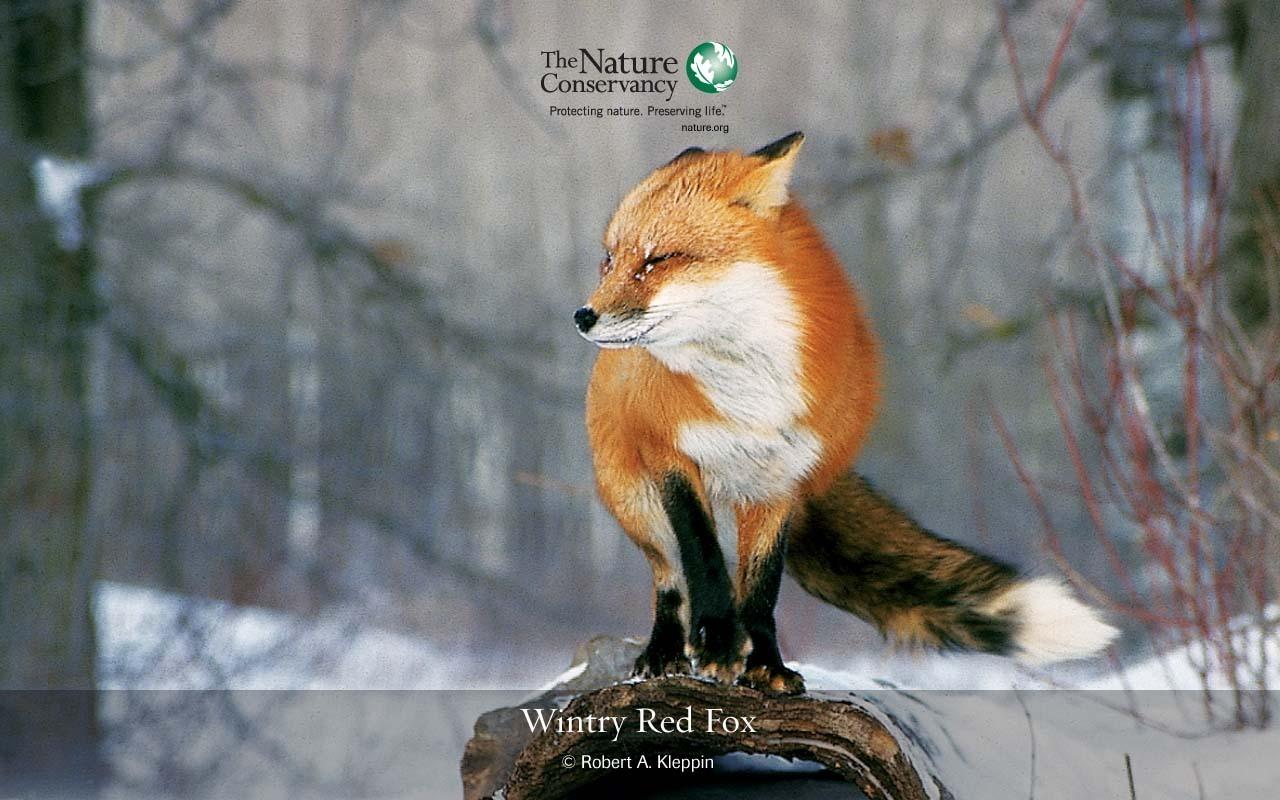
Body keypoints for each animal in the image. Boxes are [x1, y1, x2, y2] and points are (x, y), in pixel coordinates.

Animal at [573, 132, 1118, 694]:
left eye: (658, 259)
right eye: (609, 260)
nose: (583, 316)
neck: (749, 394)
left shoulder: (781, 478)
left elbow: (762, 588)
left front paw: (765, 665)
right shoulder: (671, 455)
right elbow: (701, 558)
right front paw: (719, 644)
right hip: (635, 499)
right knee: (669, 580)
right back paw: (663, 653)